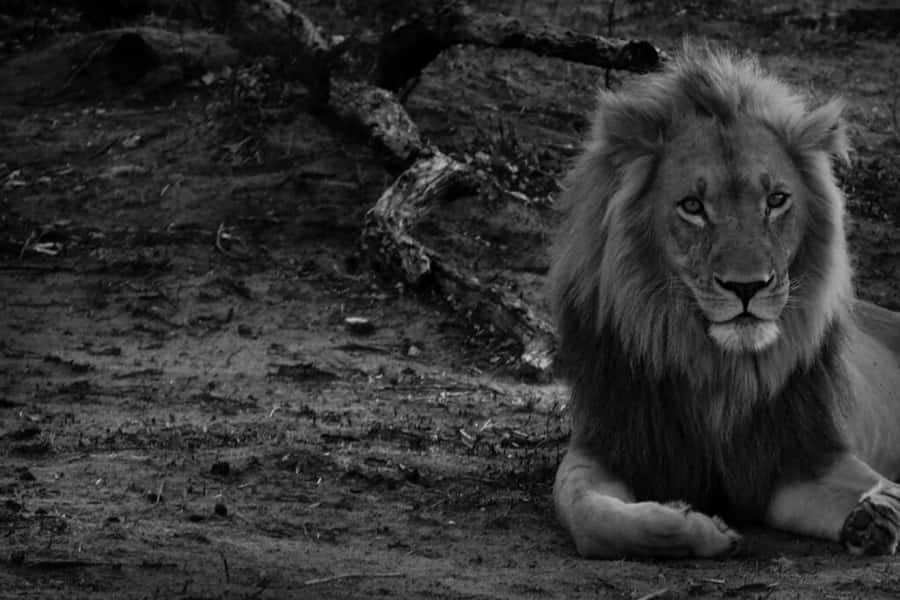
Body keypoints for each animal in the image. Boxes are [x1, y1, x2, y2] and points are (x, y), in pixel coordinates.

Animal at [550, 43, 900, 558]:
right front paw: (701, 528)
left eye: (776, 200)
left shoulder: (801, 458)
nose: (747, 286)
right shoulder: (607, 445)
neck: (718, 371)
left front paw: (875, 513)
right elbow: (591, 516)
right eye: (692, 206)